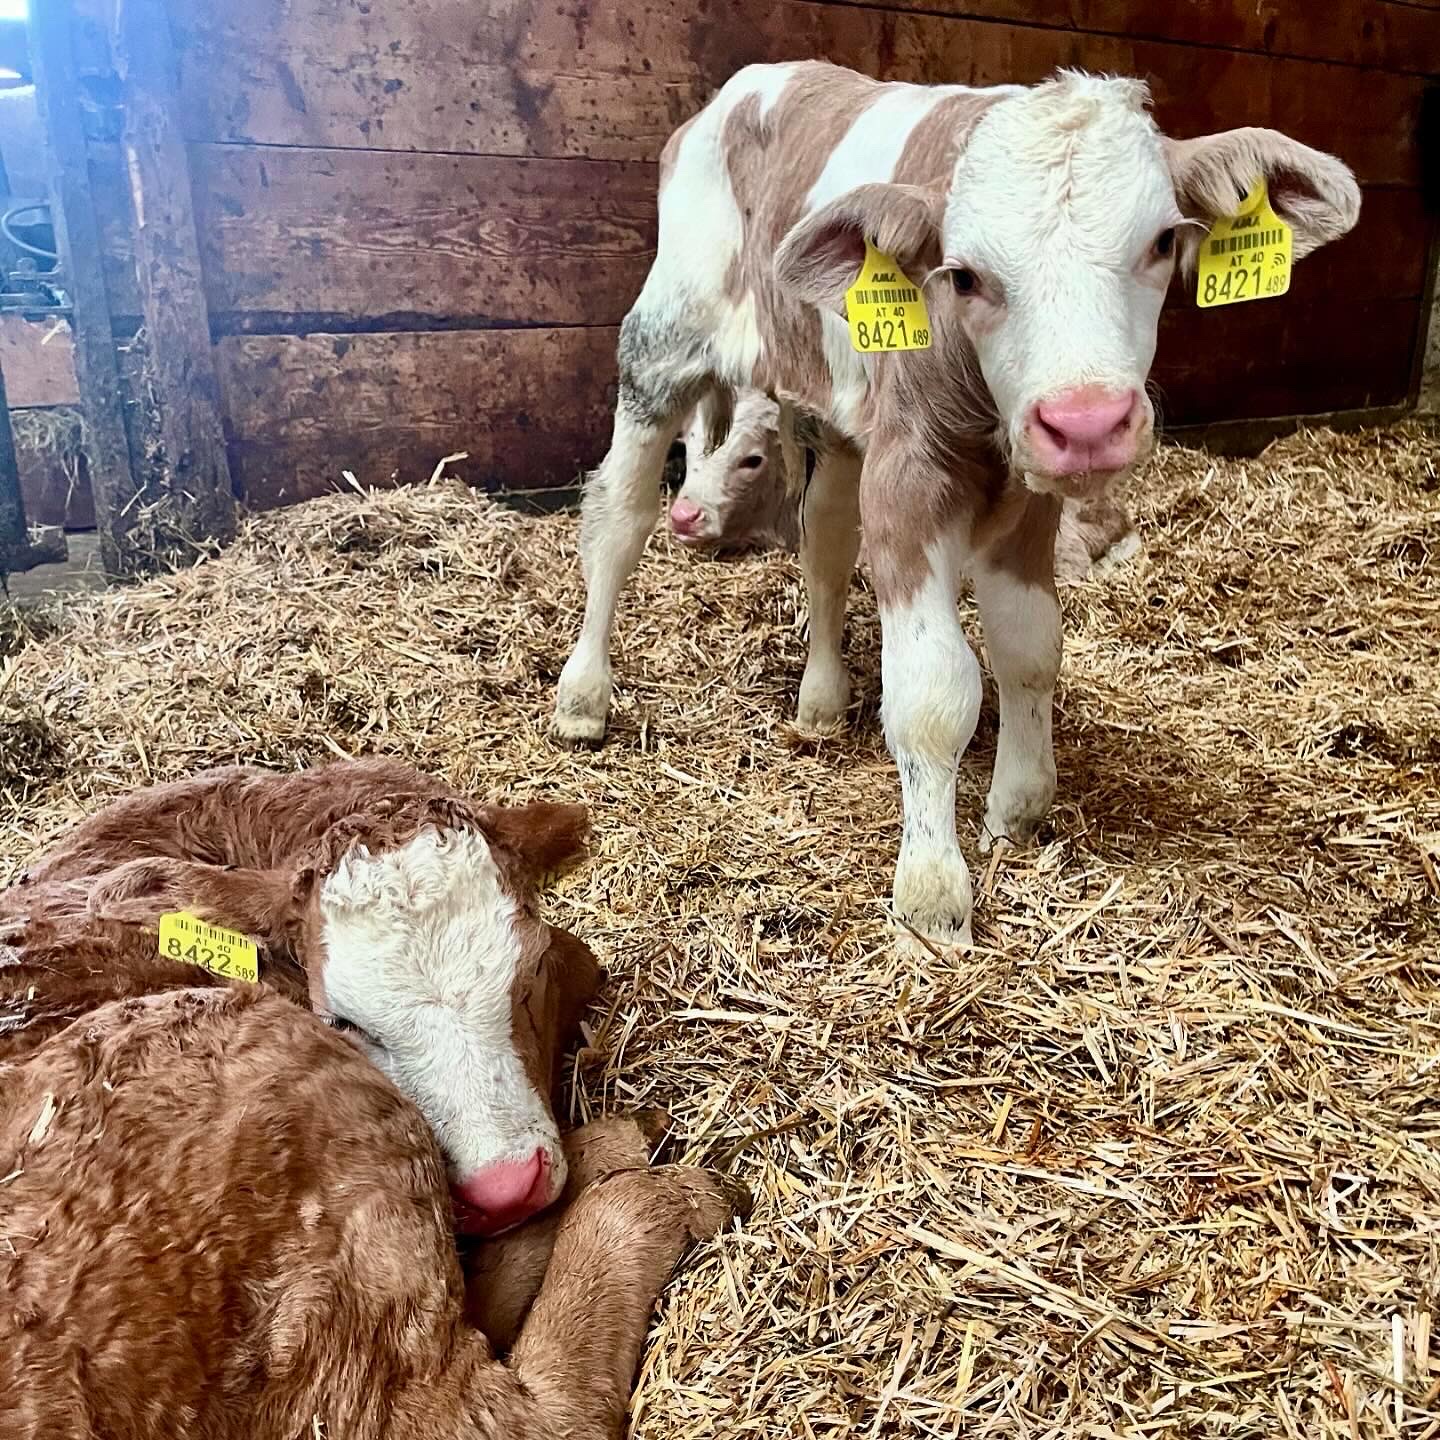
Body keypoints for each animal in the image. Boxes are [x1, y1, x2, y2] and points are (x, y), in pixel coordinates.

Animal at [552, 62, 1360, 946]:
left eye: (1160, 242)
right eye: (964, 274)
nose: (1087, 421)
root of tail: (751, 84)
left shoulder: (1029, 495)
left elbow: (1030, 646)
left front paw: (1020, 807)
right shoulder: (908, 478)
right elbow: (935, 688)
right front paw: (932, 888)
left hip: (830, 410)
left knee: (825, 542)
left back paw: (821, 701)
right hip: (660, 345)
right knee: (619, 518)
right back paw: (582, 699)